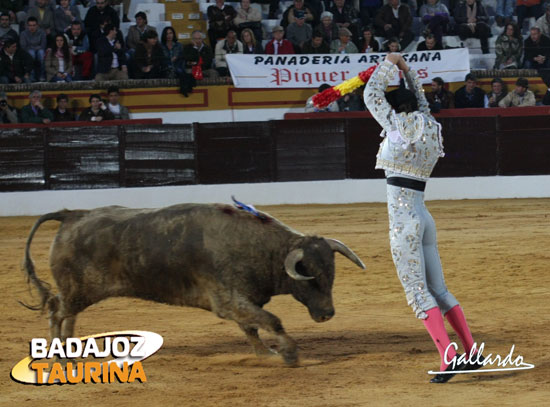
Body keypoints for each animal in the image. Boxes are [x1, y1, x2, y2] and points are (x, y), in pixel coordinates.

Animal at [22, 204, 366, 366]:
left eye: (331, 273)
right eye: (312, 278)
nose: (327, 314)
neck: (262, 247)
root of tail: (71, 214)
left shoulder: (240, 301)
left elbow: (252, 328)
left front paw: (265, 353)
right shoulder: (228, 299)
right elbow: (271, 321)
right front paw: (289, 354)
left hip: (79, 291)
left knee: (68, 313)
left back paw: (69, 351)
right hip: (79, 289)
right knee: (57, 310)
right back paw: (59, 355)